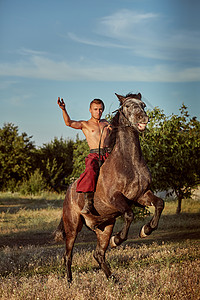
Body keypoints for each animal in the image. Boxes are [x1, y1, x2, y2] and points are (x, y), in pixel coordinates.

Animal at [54, 92, 164, 282]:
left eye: (143, 105)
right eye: (127, 106)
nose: (143, 118)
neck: (129, 161)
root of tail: (68, 193)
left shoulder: (141, 195)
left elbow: (159, 204)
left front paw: (146, 230)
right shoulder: (116, 198)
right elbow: (129, 214)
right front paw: (118, 239)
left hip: (104, 227)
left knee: (98, 254)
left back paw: (113, 279)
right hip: (72, 227)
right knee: (68, 255)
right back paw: (69, 281)